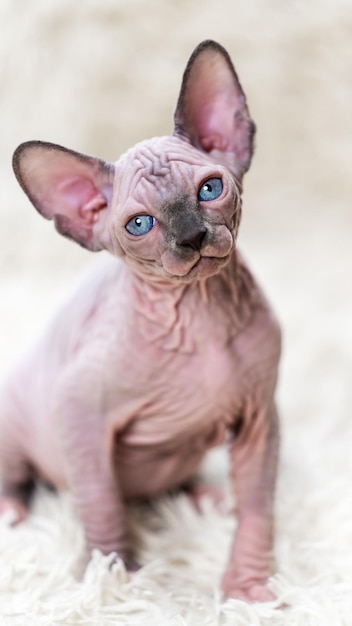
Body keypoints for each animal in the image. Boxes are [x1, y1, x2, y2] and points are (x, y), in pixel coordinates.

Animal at [0, 40, 280, 600]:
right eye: (139, 225)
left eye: (210, 189)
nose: (192, 237)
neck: (198, 311)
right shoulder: (79, 410)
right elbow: (103, 505)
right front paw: (119, 580)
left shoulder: (260, 417)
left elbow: (257, 513)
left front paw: (246, 590)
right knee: (17, 474)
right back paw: (11, 512)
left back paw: (205, 495)